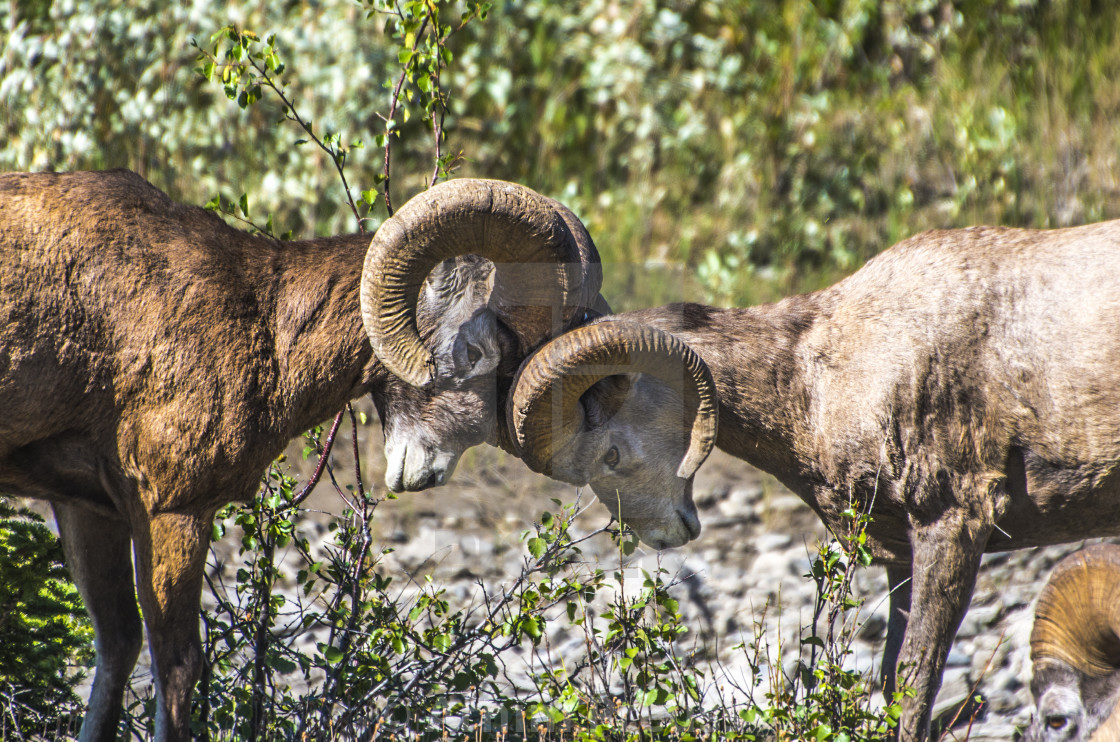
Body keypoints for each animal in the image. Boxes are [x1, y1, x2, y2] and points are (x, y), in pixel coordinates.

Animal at [0, 170, 604, 742]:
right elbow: (176, 668)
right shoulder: (171, 512)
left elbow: (117, 648)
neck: (264, 327)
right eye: (480, 350)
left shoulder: (87, 509)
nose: (426, 472)